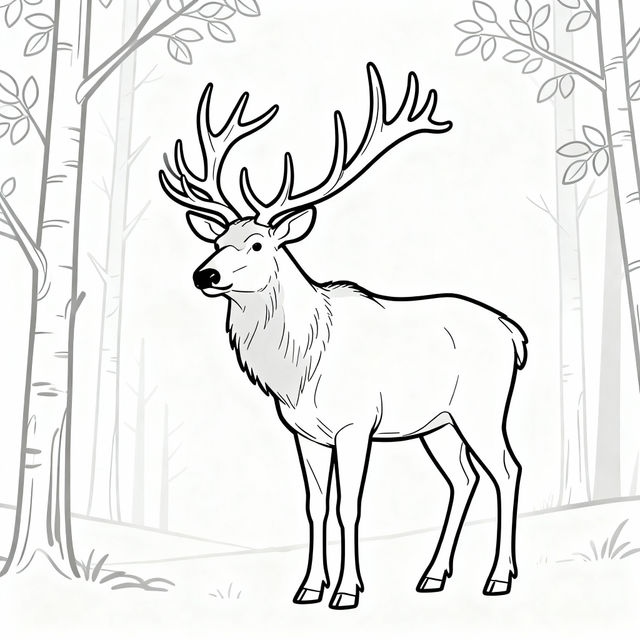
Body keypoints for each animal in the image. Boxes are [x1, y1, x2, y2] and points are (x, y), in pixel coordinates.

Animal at [159, 62, 528, 610]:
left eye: (258, 243)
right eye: (219, 240)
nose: (205, 275)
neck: (300, 367)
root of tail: (513, 333)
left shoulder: (357, 425)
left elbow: (349, 506)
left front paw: (348, 591)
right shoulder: (304, 432)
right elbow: (315, 506)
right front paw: (309, 587)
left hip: (482, 407)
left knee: (507, 470)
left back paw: (499, 577)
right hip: (438, 423)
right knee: (463, 480)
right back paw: (433, 575)